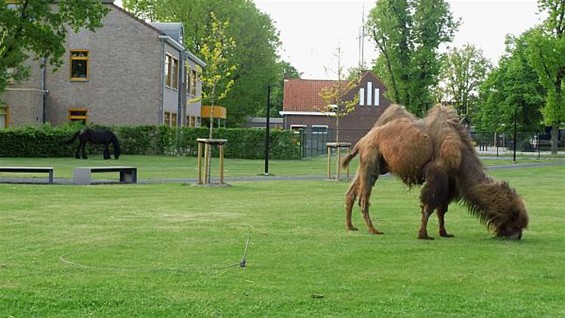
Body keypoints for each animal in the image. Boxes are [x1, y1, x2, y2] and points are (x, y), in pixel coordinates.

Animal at [340, 103, 528, 240]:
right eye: (514, 215)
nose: (518, 235)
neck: (461, 155)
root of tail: (362, 140)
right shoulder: (438, 174)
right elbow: (429, 205)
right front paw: (423, 235)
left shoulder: (450, 181)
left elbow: (441, 209)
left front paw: (444, 233)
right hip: (372, 159)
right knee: (364, 198)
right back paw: (373, 230)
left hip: (374, 164)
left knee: (352, 192)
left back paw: (351, 226)